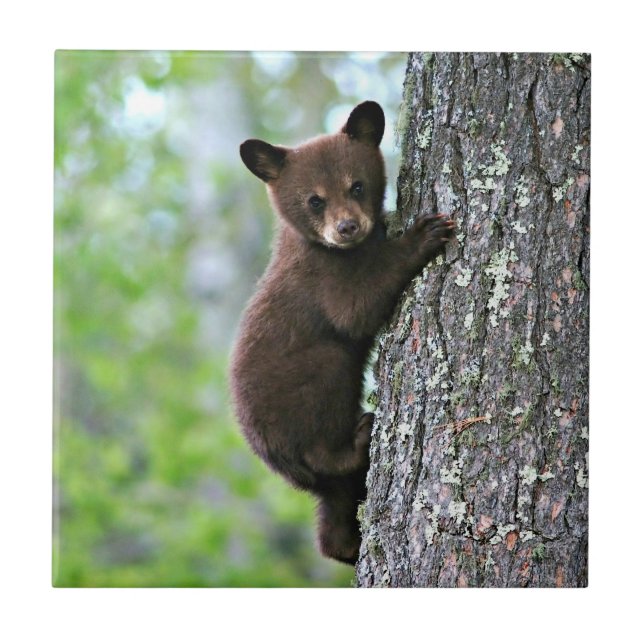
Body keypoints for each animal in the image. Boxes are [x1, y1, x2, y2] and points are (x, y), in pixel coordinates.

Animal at [230, 101, 454, 565]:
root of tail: (276, 461)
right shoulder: (323, 279)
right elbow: (356, 310)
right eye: (315, 200)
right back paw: (359, 436)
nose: (347, 227)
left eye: (357, 186)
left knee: (333, 514)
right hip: (307, 388)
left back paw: (345, 545)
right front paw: (422, 235)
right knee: (325, 428)